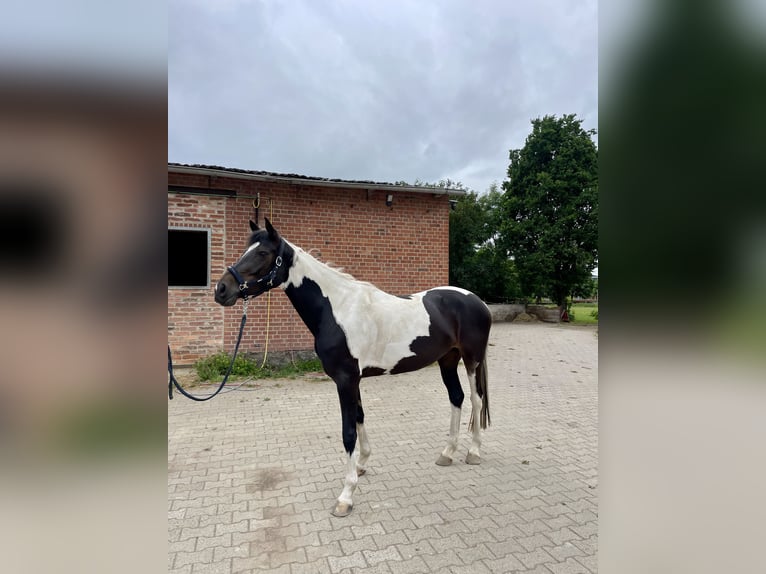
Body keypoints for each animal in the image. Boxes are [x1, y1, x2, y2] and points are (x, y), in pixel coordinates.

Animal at [214, 218, 492, 517]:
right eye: (246, 249)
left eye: (263, 253)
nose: (221, 289)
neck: (337, 309)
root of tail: (478, 301)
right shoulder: (353, 380)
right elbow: (359, 418)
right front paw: (361, 465)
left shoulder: (345, 379)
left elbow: (348, 433)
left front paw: (346, 496)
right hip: (448, 360)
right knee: (457, 398)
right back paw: (447, 453)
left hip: (471, 360)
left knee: (476, 400)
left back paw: (474, 452)